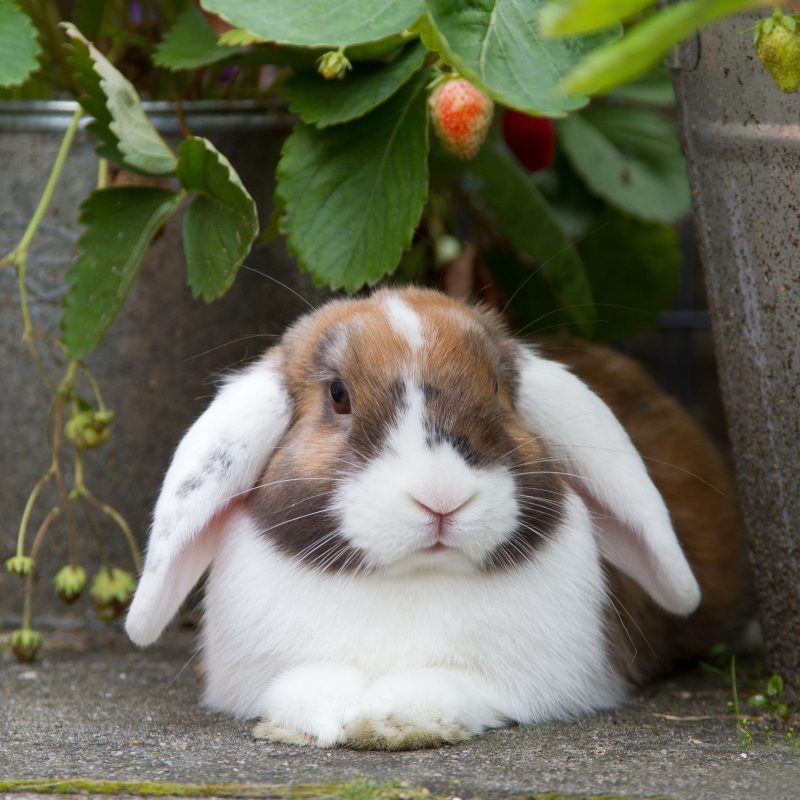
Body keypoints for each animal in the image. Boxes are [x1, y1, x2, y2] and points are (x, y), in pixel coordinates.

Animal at [125, 287, 750, 750]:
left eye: (496, 388)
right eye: (338, 395)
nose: (441, 498)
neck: (412, 580)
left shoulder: (533, 682)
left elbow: (450, 687)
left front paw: (391, 718)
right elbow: (305, 685)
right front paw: (327, 715)